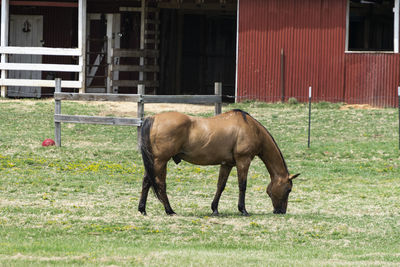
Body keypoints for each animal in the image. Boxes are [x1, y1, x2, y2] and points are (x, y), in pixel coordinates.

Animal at [139, 110, 298, 217]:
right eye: (289, 189)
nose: (281, 211)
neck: (251, 128)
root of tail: (153, 118)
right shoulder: (243, 161)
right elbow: (242, 185)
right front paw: (243, 209)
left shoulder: (226, 164)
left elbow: (220, 186)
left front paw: (214, 209)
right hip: (160, 161)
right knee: (160, 184)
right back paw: (169, 210)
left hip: (154, 162)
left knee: (147, 181)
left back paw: (142, 209)